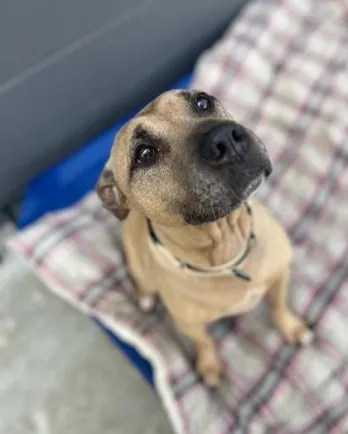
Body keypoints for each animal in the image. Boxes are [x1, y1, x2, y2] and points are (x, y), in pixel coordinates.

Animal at [96, 90, 312, 384]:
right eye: (144, 153)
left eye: (202, 102)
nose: (225, 138)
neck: (227, 245)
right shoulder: (188, 323)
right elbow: (204, 341)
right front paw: (210, 367)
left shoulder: (280, 275)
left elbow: (278, 306)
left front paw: (292, 328)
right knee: (142, 282)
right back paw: (144, 297)